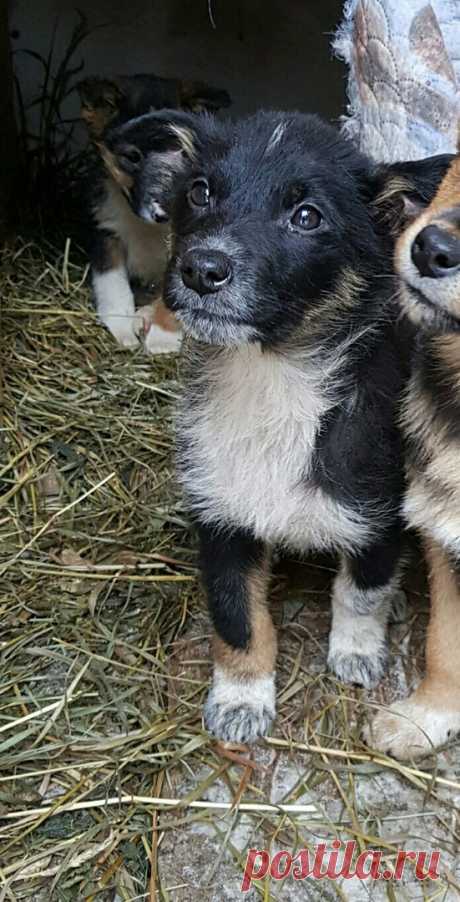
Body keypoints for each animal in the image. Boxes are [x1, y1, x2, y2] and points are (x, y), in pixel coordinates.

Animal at [77, 72, 232, 354]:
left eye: (181, 153)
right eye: (132, 156)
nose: (163, 213)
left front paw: (163, 336)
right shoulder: (106, 232)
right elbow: (113, 284)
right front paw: (121, 326)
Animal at [105, 109, 452, 740]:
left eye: (306, 216)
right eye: (200, 192)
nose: (201, 268)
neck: (273, 378)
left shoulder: (377, 513)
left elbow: (361, 590)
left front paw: (356, 651)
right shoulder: (221, 516)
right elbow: (237, 616)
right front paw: (242, 698)